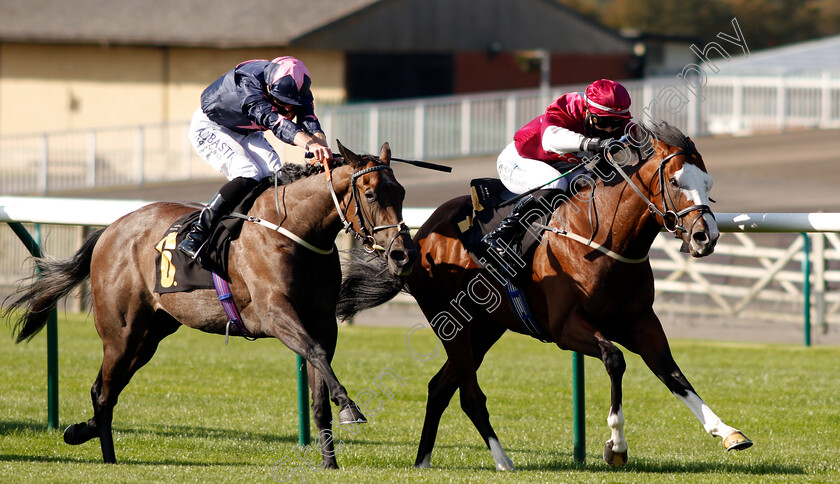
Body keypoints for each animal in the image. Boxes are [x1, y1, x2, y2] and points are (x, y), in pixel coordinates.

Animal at [4, 140, 416, 466]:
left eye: (402, 193)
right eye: (371, 194)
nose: (402, 254)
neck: (296, 231)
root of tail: (110, 229)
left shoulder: (322, 322)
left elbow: (318, 390)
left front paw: (330, 463)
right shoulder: (274, 314)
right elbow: (314, 354)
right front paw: (351, 407)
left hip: (149, 336)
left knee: (105, 390)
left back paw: (85, 435)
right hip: (120, 332)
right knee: (104, 392)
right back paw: (103, 453)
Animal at [340, 124, 756, 468]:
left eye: (708, 183)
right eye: (674, 180)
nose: (705, 236)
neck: (602, 241)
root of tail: (420, 236)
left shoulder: (640, 322)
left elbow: (671, 372)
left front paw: (728, 432)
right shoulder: (566, 328)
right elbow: (615, 359)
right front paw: (616, 446)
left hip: (486, 328)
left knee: (440, 387)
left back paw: (423, 462)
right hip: (452, 326)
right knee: (468, 395)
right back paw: (501, 462)